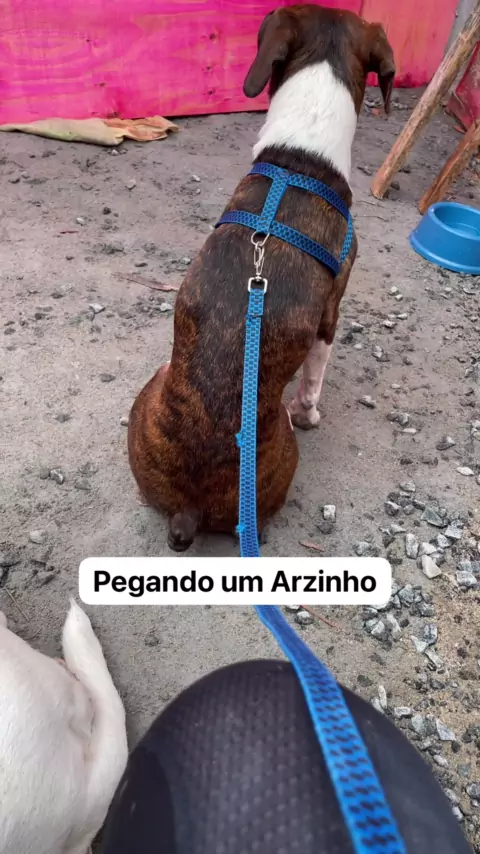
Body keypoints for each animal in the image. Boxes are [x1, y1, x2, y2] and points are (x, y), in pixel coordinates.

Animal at [128, 4, 395, 551]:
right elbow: (314, 377)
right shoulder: (331, 311)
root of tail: (189, 508)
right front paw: (310, 412)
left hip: (151, 392)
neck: (302, 154)